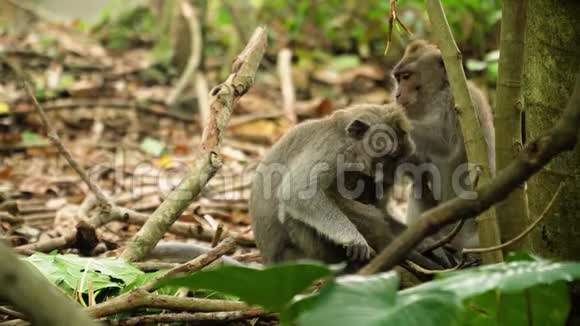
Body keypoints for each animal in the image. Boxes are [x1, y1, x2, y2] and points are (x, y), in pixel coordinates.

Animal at [248, 102, 444, 270]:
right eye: (390, 157)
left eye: (399, 159)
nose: (390, 177)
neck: (340, 132)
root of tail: (270, 261)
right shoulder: (332, 150)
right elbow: (296, 193)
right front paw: (353, 239)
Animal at [394, 40, 494, 250]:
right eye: (398, 79)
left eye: (406, 77)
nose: (397, 95)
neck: (439, 91)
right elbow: (416, 165)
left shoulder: (459, 103)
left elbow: (445, 143)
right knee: (419, 185)